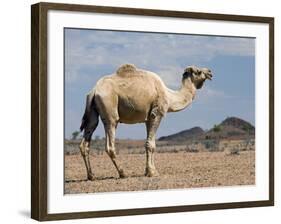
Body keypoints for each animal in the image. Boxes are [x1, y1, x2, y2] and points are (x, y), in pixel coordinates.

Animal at [77, 63, 211, 180]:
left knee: (86, 139)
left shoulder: (148, 118)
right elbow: (151, 145)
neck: (169, 96)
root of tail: (94, 91)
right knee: (110, 143)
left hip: (93, 112)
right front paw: (153, 172)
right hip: (110, 109)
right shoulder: (156, 114)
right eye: (198, 71)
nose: (210, 72)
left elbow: (148, 144)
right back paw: (122, 173)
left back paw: (91, 176)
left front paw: (148, 171)